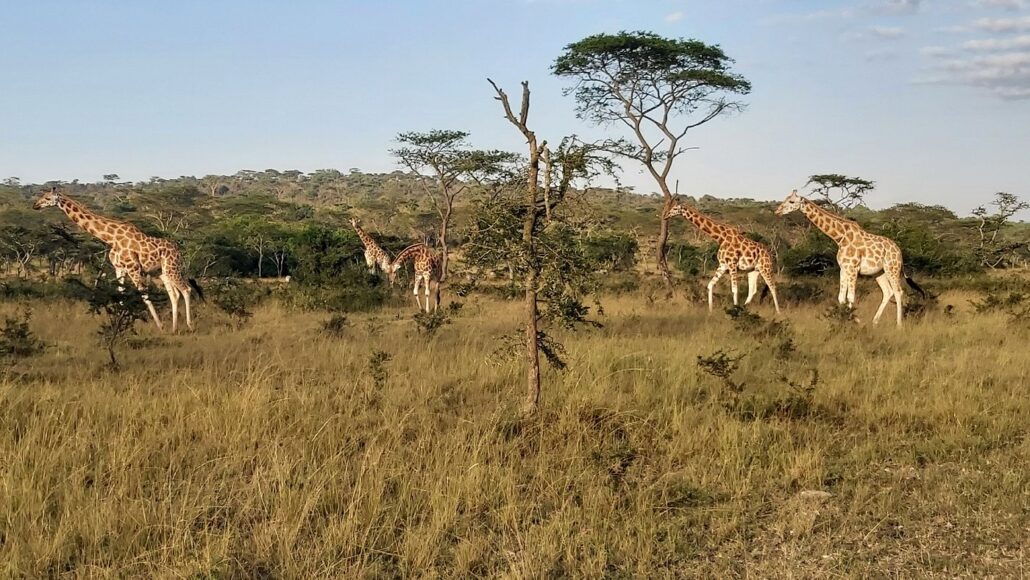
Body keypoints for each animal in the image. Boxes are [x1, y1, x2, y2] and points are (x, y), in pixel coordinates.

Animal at [32, 186, 202, 331]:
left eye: (47, 198)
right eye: (42, 196)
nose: (35, 206)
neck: (111, 238)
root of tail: (178, 251)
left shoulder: (133, 268)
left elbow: (145, 296)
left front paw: (159, 326)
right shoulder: (119, 268)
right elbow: (121, 294)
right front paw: (118, 324)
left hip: (172, 268)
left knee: (186, 289)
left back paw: (189, 326)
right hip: (162, 272)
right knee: (174, 295)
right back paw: (174, 328)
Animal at [774, 190, 927, 327]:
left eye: (791, 201)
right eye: (786, 198)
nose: (777, 211)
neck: (839, 237)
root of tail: (899, 251)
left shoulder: (853, 268)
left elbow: (850, 297)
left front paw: (855, 321)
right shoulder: (844, 268)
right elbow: (841, 297)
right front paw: (845, 319)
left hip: (892, 268)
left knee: (898, 291)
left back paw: (899, 325)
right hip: (879, 272)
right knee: (888, 292)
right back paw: (874, 322)